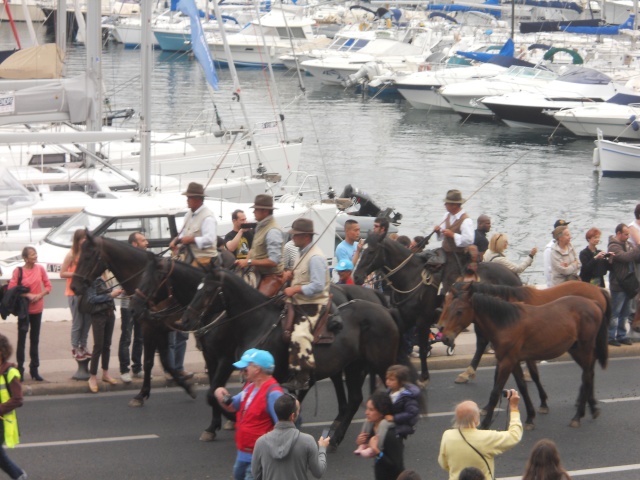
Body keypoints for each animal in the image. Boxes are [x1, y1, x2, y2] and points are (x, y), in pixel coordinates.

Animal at [68, 234, 196, 406]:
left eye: (87, 256)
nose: (74, 287)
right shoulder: (160, 328)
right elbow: (165, 361)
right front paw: (186, 386)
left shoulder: (151, 328)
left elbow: (149, 361)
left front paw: (142, 394)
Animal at [178, 266, 408, 446]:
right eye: (197, 288)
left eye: (208, 290)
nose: (185, 320)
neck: (258, 322)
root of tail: (386, 309)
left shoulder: (236, 364)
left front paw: (233, 419)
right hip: (354, 365)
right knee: (355, 399)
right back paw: (338, 438)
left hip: (381, 363)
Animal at [352, 233, 524, 386]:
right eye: (361, 249)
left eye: (371, 251)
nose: (356, 277)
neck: (411, 276)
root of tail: (513, 275)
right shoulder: (405, 318)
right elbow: (401, 345)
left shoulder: (423, 320)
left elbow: (422, 349)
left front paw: (424, 377)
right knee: (482, 342)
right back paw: (467, 373)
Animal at [438, 286, 608, 430]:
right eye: (448, 307)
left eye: (459, 311)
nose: (445, 337)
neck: (506, 322)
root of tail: (593, 302)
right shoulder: (514, 362)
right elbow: (522, 387)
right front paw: (530, 417)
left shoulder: (507, 362)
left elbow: (495, 392)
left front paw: (485, 423)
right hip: (575, 350)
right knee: (589, 374)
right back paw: (591, 408)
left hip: (584, 348)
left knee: (587, 376)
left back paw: (578, 416)